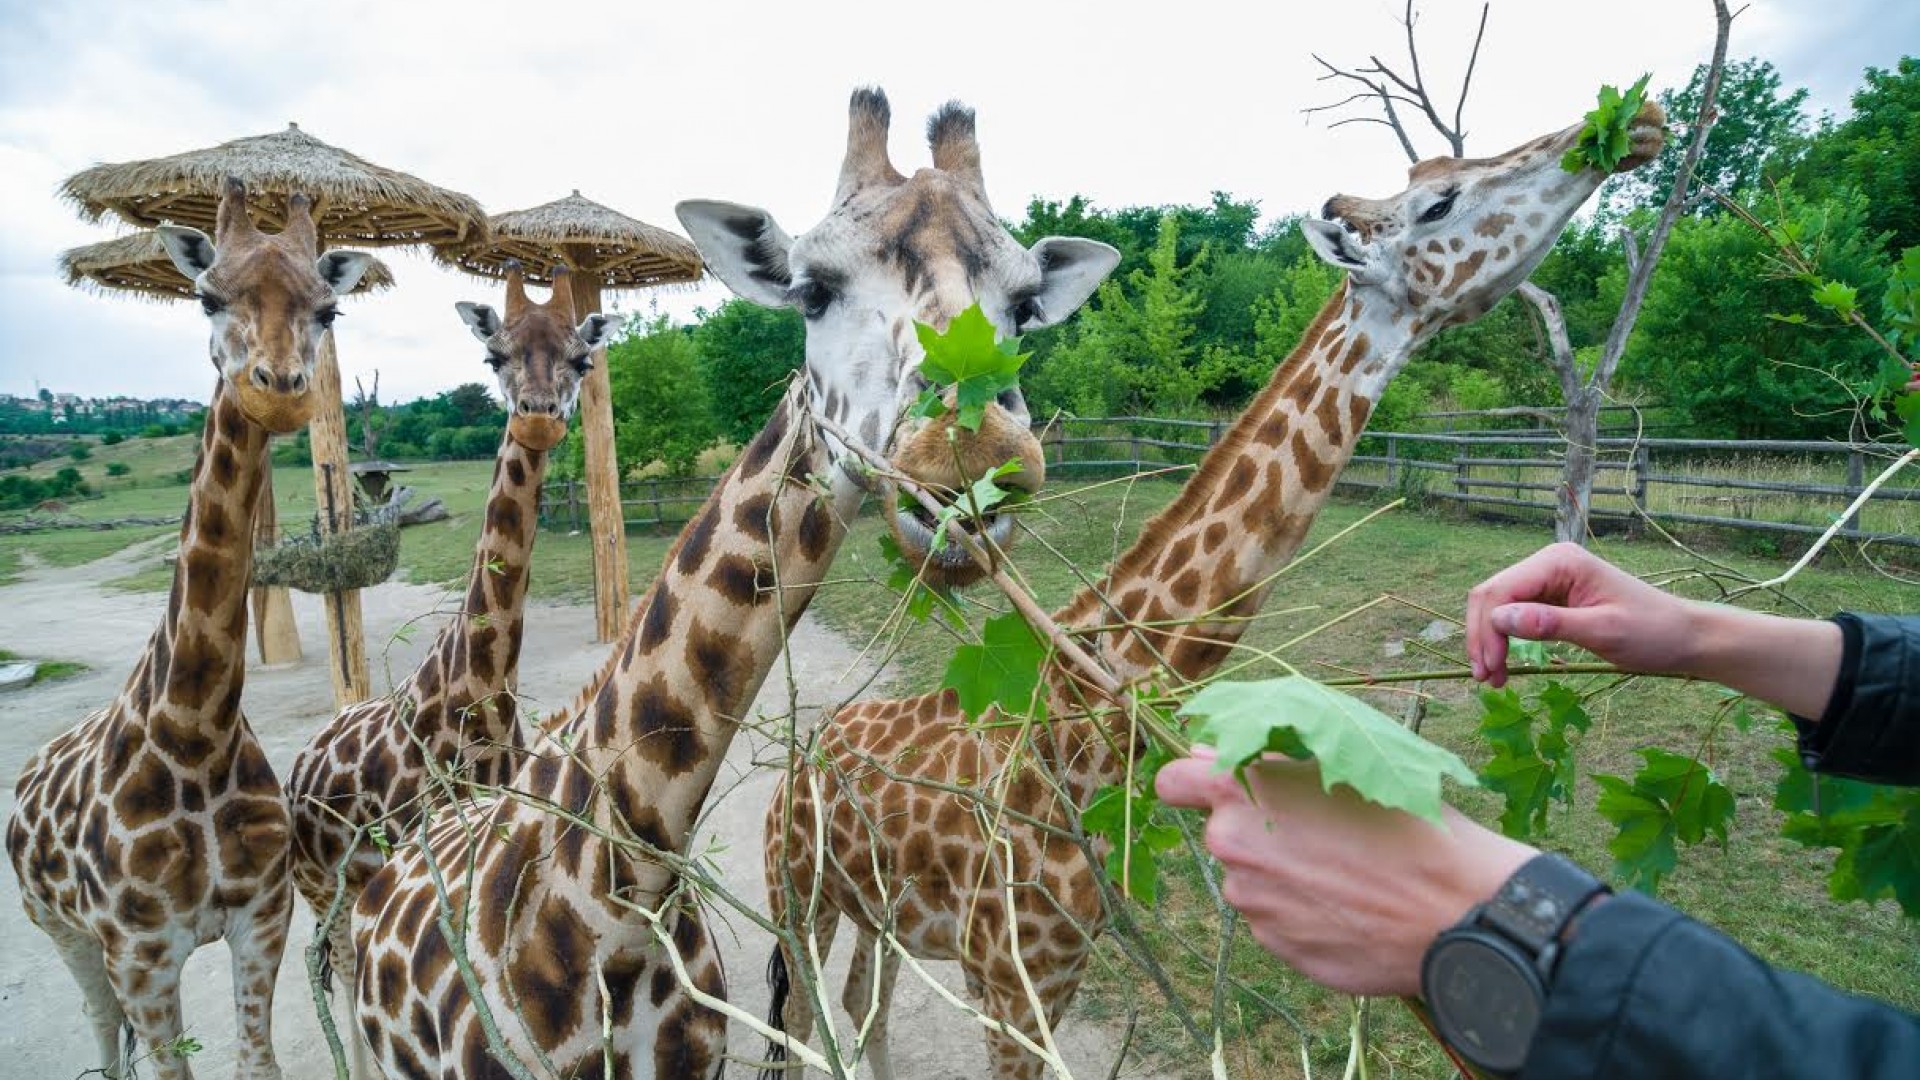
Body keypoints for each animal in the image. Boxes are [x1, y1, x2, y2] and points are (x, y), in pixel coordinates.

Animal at [5, 176, 370, 1076]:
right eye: (207, 296)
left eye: (329, 311)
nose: (277, 386)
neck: (194, 733)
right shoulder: (140, 955)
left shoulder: (261, 919)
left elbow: (257, 1062)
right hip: (61, 932)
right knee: (104, 1037)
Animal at [282, 263, 622, 1076]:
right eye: (494, 356)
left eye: (581, 360)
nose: (538, 418)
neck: (481, 686)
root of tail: (300, 762)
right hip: (318, 882)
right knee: (335, 969)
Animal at [760, 102, 1666, 1076]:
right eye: (1439, 201)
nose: (1637, 123)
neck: (1089, 734)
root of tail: (804, 752)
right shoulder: (1010, 979)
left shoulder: (1058, 969)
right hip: (796, 895)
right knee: (802, 1020)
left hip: (880, 911)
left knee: (865, 1004)